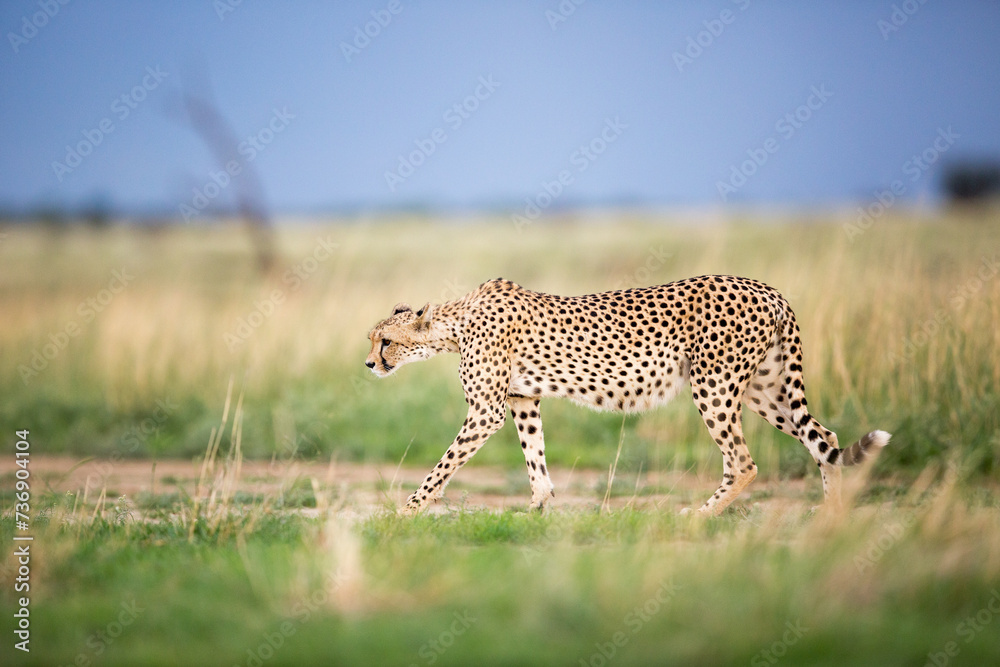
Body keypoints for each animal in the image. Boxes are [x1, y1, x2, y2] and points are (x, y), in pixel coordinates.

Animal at [365, 276, 890, 516]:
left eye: (385, 341)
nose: (369, 364)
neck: (456, 323)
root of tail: (767, 288)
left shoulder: (487, 411)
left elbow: (443, 466)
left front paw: (407, 511)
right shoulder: (522, 402)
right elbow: (535, 458)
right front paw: (537, 509)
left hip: (714, 386)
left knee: (743, 462)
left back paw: (699, 515)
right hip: (766, 389)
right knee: (823, 435)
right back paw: (830, 516)